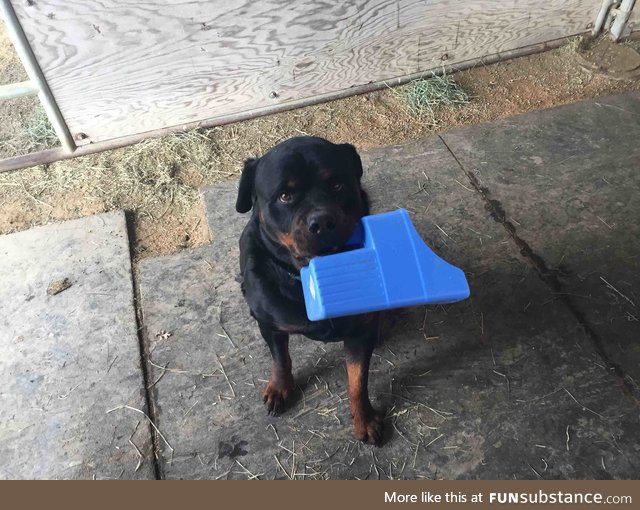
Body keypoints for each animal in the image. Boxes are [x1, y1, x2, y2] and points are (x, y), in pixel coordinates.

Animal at [238, 136, 382, 446]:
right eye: (284, 196)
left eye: (337, 185)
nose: (322, 222)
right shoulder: (270, 323)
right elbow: (280, 358)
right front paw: (280, 387)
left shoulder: (360, 331)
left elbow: (357, 380)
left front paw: (364, 418)